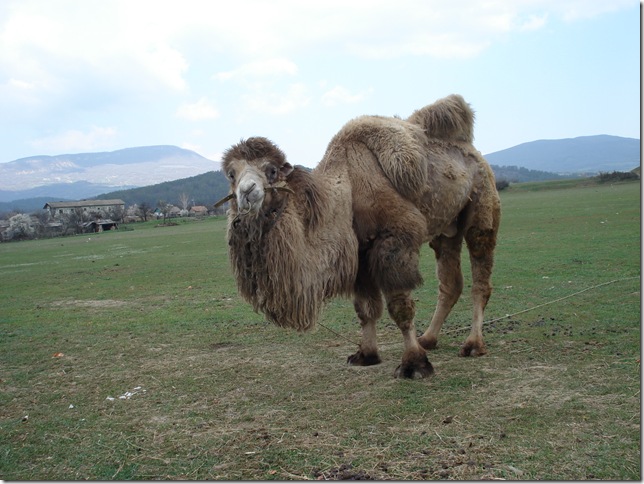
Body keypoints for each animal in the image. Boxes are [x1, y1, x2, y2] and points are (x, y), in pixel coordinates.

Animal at [218, 94, 501, 379]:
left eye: (272, 170)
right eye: (231, 174)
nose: (247, 191)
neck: (347, 189)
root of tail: (472, 151)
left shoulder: (396, 238)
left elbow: (400, 307)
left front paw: (414, 364)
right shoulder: (360, 253)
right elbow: (365, 309)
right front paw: (366, 355)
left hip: (482, 206)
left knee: (480, 276)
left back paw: (473, 345)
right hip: (446, 230)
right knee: (450, 282)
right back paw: (428, 339)